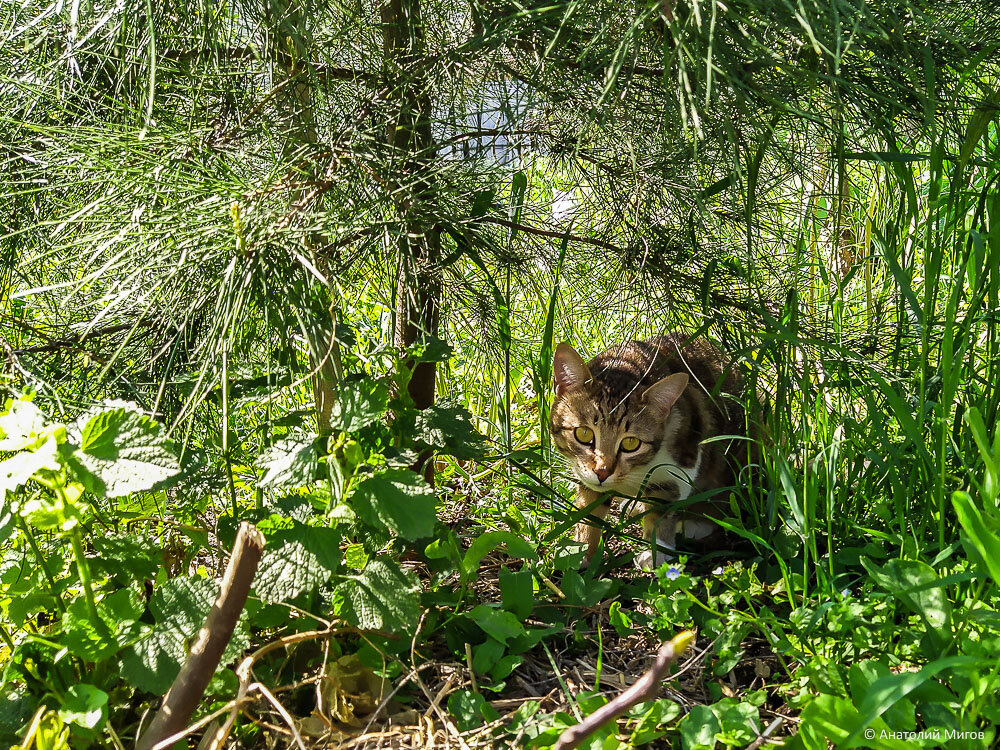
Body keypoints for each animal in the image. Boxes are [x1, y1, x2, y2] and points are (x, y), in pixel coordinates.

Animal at [552, 334, 748, 568]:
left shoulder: (686, 454)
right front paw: (580, 550)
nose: (602, 472)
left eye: (630, 443)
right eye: (583, 434)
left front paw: (656, 550)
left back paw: (696, 522)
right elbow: (589, 506)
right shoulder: (585, 473)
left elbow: (662, 501)